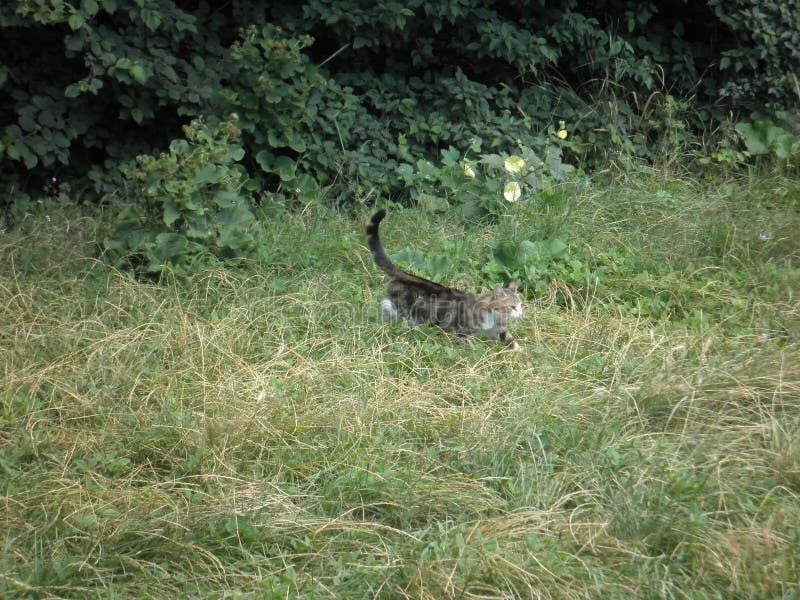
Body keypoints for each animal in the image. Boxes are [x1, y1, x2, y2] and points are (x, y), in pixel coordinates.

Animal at [364, 211, 520, 350]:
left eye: (520, 306)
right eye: (512, 307)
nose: (520, 314)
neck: (493, 320)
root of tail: (405, 274)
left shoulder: (500, 331)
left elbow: (511, 339)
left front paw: (518, 351)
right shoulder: (461, 334)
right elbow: (471, 344)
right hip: (406, 310)